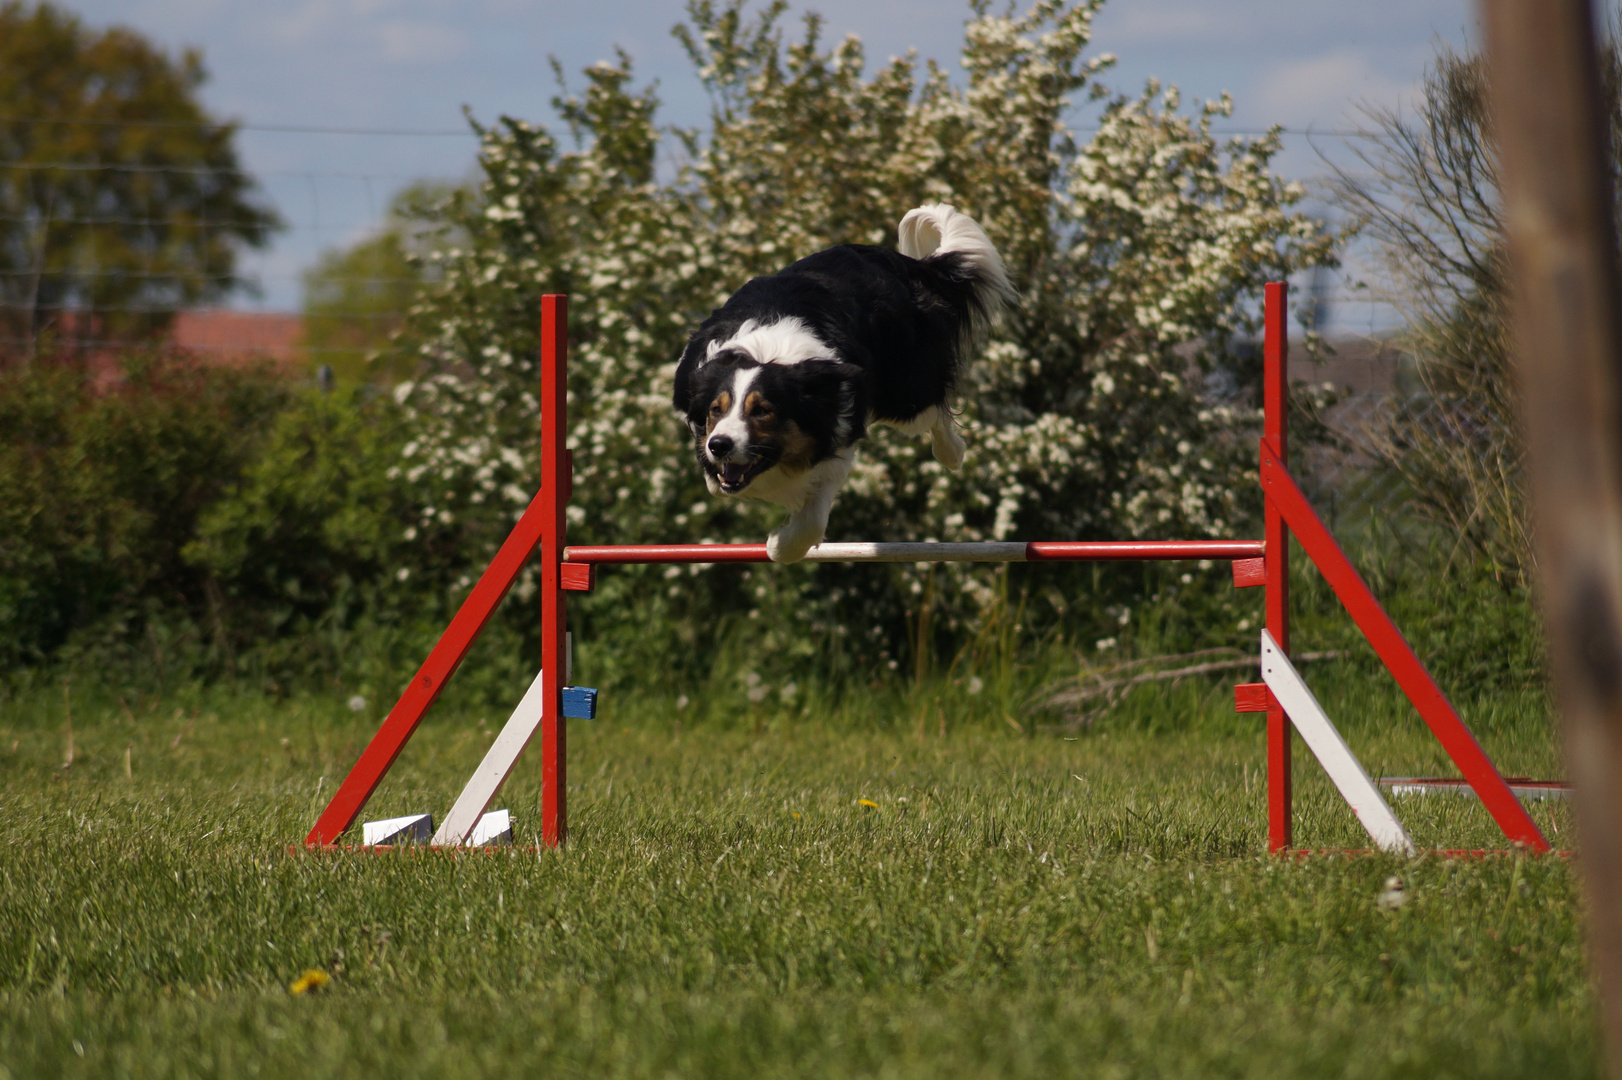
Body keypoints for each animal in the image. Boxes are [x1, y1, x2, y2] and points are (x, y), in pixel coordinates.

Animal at [671, 201, 1012, 557]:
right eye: (716, 410)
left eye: (762, 410)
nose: (719, 445)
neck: (765, 352)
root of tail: (901, 263)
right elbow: (717, 483)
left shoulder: (839, 434)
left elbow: (811, 522)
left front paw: (778, 544)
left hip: (905, 392)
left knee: (932, 408)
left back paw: (952, 452)